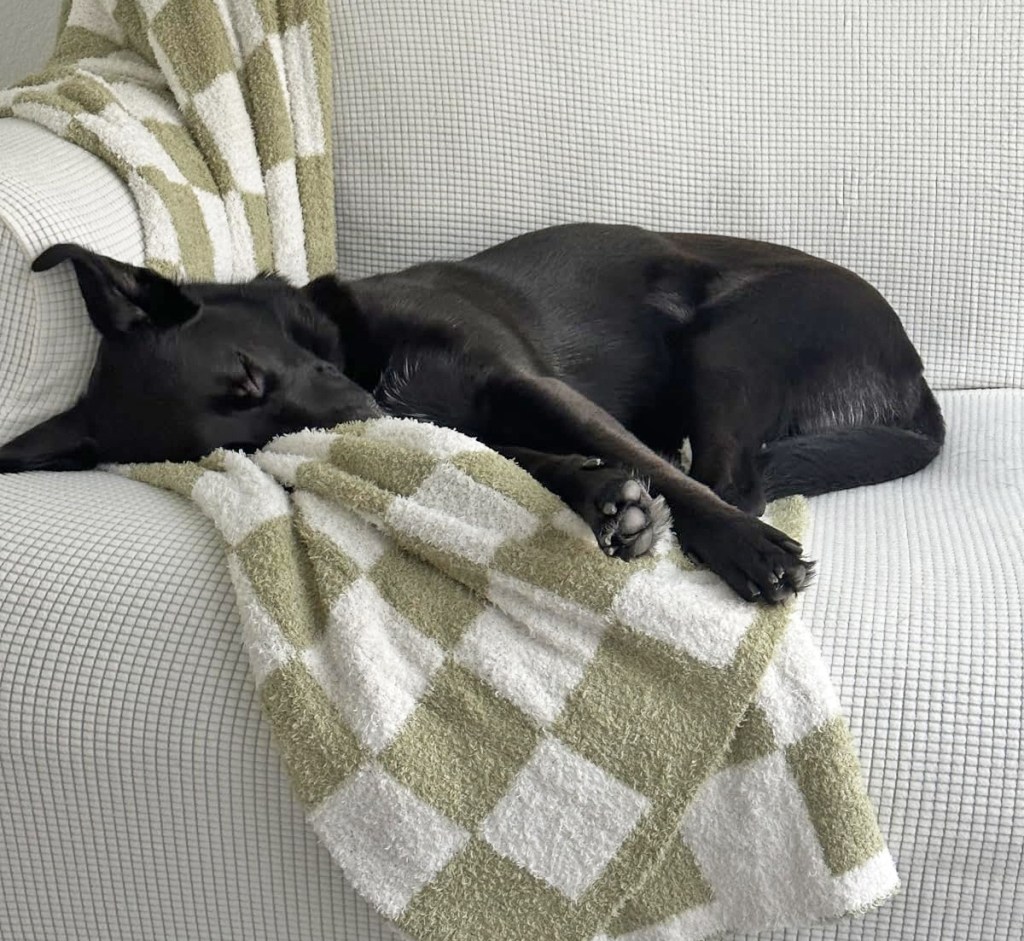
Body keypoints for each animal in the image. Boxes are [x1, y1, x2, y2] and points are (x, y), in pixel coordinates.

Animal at [0, 224, 942, 597]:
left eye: (247, 376)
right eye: (259, 438)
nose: (360, 416)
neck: (362, 351)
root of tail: (918, 376)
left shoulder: (529, 384)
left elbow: (643, 461)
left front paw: (724, 537)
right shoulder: (480, 424)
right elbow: (543, 462)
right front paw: (604, 496)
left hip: (733, 340)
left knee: (729, 476)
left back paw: (741, 540)